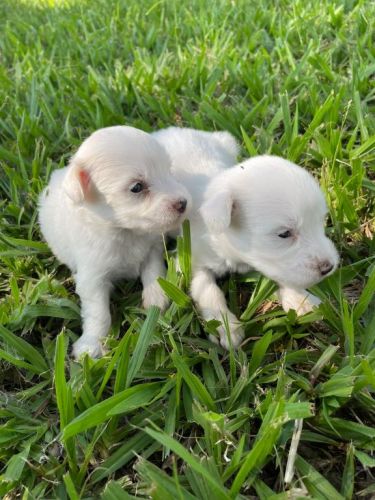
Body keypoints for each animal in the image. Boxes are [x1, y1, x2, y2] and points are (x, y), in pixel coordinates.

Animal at [39, 127, 191, 358]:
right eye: (137, 187)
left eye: (169, 170)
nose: (183, 203)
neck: (125, 232)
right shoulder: (92, 278)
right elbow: (98, 312)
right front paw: (90, 346)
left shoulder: (152, 248)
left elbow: (153, 271)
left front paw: (156, 299)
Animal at [153, 127, 340, 350]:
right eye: (284, 234)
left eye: (322, 221)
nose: (329, 267)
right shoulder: (192, 261)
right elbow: (207, 290)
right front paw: (225, 325)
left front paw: (300, 298)